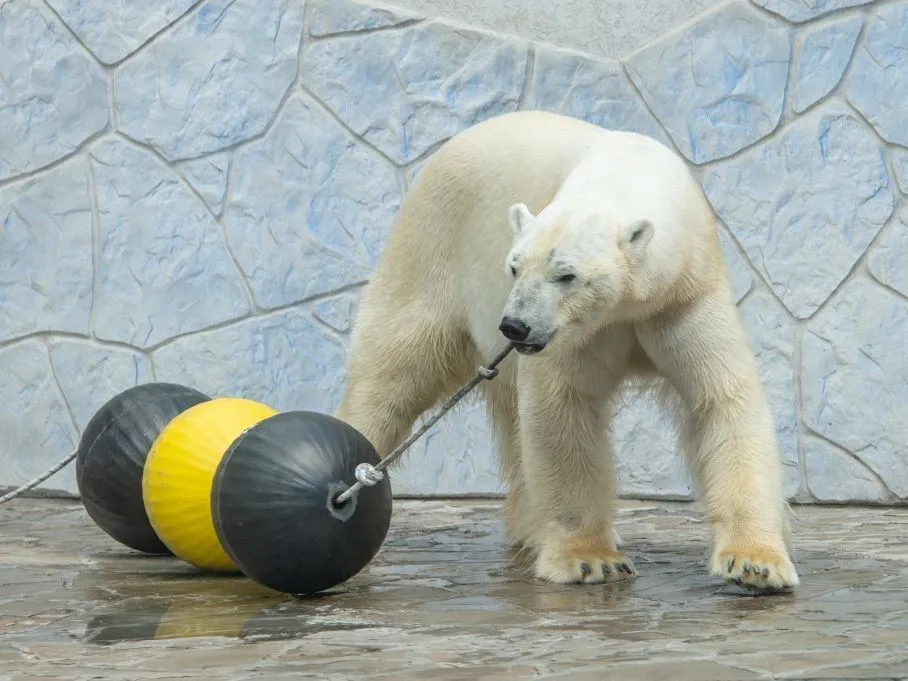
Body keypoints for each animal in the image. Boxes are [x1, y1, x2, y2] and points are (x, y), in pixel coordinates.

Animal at [336, 109, 800, 592]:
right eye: (514, 266)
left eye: (566, 274)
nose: (515, 326)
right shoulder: (577, 332)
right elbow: (563, 408)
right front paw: (590, 559)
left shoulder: (683, 294)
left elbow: (720, 399)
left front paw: (755, 564)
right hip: (430, 247)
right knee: (394, 370)